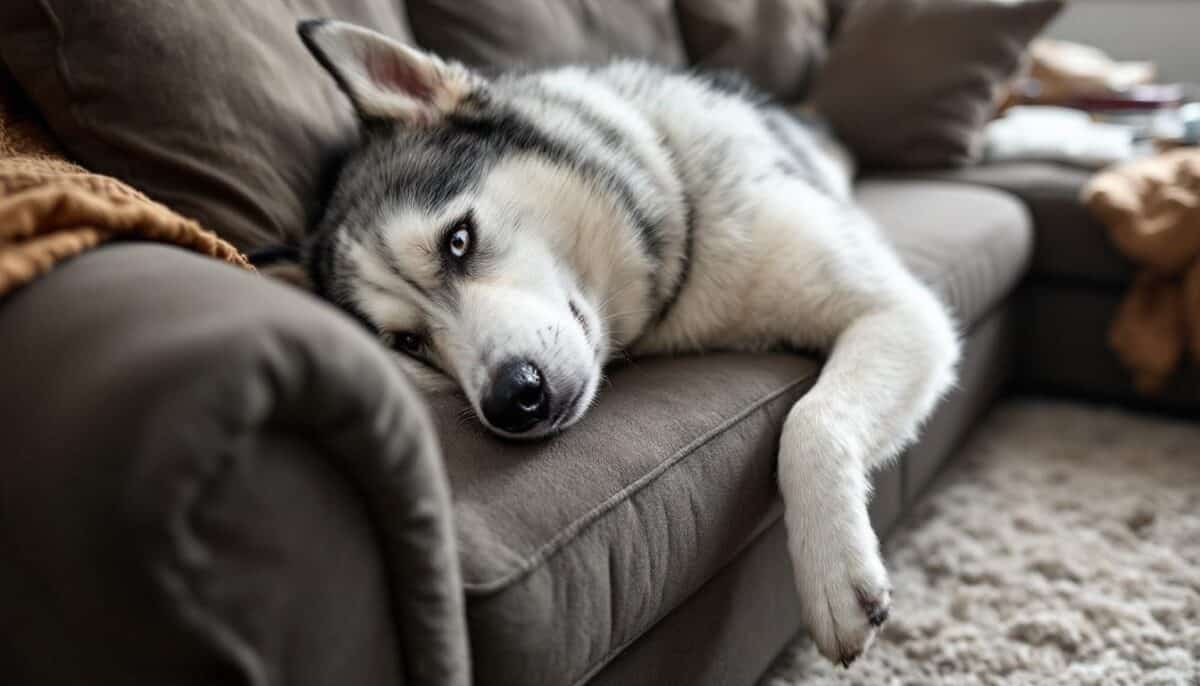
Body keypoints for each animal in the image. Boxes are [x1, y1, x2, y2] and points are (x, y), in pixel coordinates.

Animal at [295, 20, 960, 666]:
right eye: (407, 341)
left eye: (457, 241)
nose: (511, 399)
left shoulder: (896, 312)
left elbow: (810, 421)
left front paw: (832, 574)